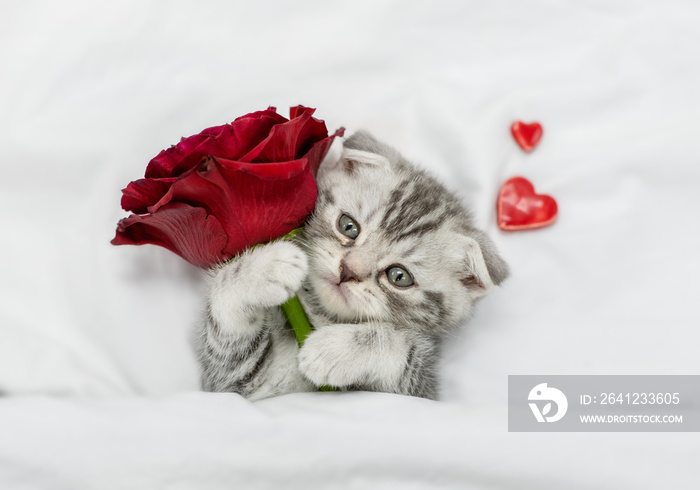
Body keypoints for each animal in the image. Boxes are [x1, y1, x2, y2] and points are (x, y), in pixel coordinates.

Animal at [197, 131, 508, 402]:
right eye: (348, 226)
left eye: (399, 276)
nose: (348, 271)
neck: (322, 316)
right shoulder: (249, 380)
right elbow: (227, 320)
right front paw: (267, 267)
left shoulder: (417, 391)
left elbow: (399, 347)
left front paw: (331, 350)